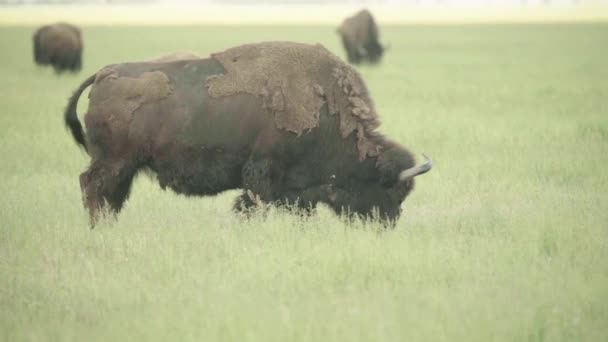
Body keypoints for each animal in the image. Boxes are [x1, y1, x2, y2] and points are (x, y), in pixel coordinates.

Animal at [64, 40, 430, 227]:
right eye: (391, 189)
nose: (388, 224)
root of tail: (104, 74)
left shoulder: (296, 188)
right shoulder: (263, 170)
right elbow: (252, 204)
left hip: (123, 166)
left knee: (110, 194)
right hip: (113, 161)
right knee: (92, 187)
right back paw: (99, 226)